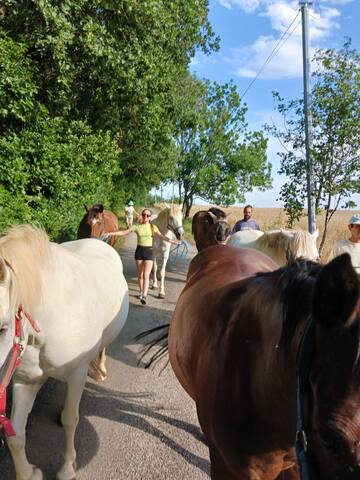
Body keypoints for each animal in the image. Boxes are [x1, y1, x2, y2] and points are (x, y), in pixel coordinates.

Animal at [0, 226, 129, 480]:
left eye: (2, 328)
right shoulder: (24, 380)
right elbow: (16, 435)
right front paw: (28, 473)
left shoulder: (77, 374)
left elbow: (71, 420)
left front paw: (67, 468)